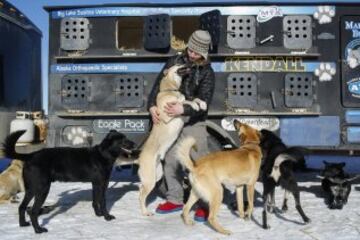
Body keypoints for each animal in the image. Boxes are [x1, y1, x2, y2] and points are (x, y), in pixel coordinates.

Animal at [3, 130, 135, 233]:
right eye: (123, 139)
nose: (134, 143)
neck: (103, 154)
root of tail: (30, 155)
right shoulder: (102, 184)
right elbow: (102, 201)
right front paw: (107, 217)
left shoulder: (95, 184)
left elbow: (95, 201)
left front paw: (98, 215)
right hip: (42, 189)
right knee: (33, 211)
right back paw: (38, 230)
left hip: (31, 189)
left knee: (22, 207)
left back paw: (23, 224)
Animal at [138, 64, 205, 216]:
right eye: (179, 65)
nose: (190, 65)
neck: (170, 89)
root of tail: (139, 158)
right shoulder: (169, 114)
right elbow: (185, 100)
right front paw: (193, 104)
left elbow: (193, 98)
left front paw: (202, 103)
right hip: (150, 179)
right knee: (141, 195)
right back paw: (145, 213)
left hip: (156, 175)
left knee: (140, 189)